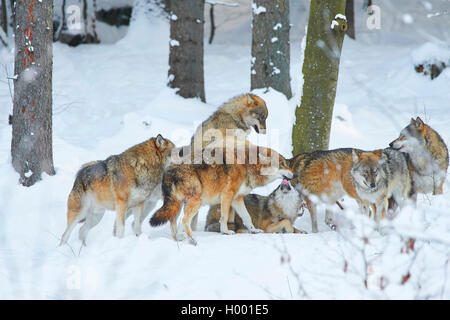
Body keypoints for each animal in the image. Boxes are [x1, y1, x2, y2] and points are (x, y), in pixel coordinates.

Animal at [149, 145, 294, 245]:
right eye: (283, 164)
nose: (295, 175)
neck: (248, 165)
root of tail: (169, 171)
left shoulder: (237, 199)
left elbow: (247, 218)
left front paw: (254, 230)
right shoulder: (227, 195)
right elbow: (224, 218)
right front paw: (226, 232)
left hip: (177, 205)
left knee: (172, 221)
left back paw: (178, 238)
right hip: (195, 202)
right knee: (185, 221)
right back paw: (193, 239)